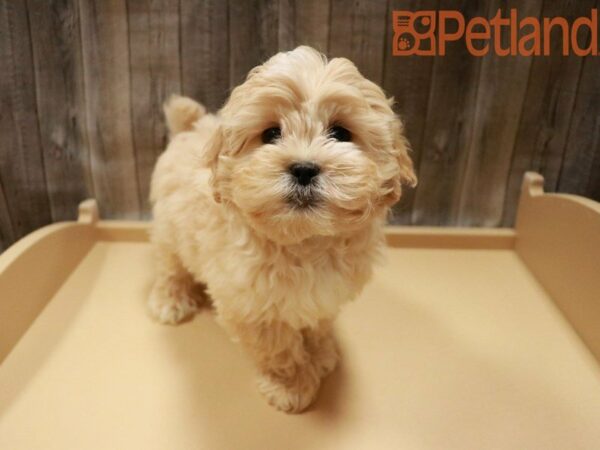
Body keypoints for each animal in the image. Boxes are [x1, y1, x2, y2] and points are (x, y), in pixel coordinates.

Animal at [148, 46, 414, 414]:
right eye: (271, 134)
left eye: (341, 133)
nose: (303, 169)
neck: (305, 241)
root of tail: (189, 126)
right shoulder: (252, 306)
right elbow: (277, 348)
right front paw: (291, 385)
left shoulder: (326, 294)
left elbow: (317, 322)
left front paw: (320, 353)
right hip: (168, 228)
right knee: (168, 263)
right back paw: (170, 300)